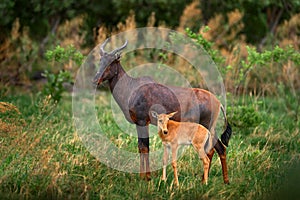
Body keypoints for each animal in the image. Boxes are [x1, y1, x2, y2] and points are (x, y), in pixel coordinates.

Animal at [94, 38, 232, 184]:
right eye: (100, 60)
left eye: (112, 62)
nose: (95, 80)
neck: (133, 87)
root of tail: (218, 102)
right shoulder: (140, 123)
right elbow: (140, 147)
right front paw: (142, 176)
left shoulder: (142, 122)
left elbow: (145, 147)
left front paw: (147, 177)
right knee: (213, 150)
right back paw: (205, 180)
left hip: (208, 127)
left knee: (220, 149)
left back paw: (223, 181)